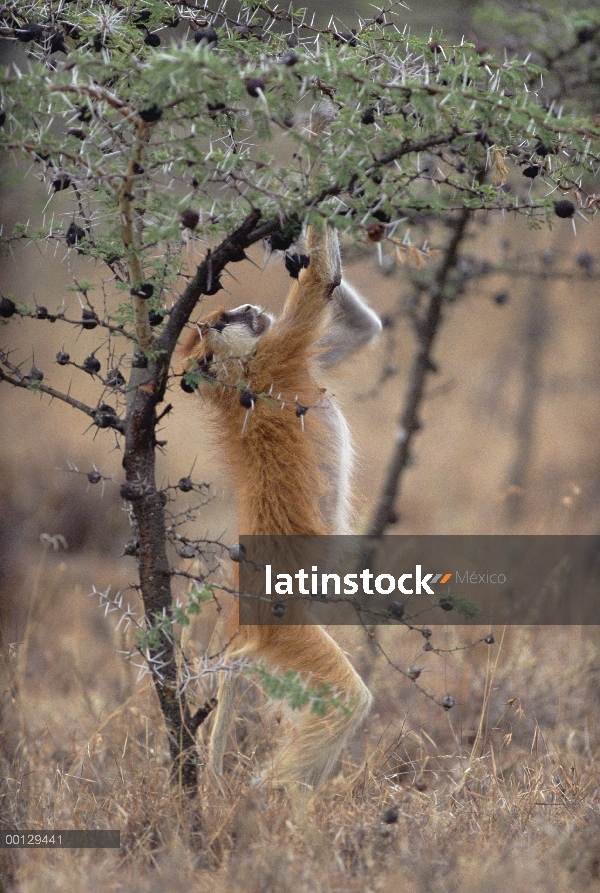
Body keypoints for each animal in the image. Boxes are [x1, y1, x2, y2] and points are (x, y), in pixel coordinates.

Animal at [180, 106, 382, 788]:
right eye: (222, 321)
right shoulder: (281, 354)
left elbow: (357, 324)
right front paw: (320, 126)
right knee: (346, 700)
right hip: (285, 627)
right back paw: (277, 799)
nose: (244, 305)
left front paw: (284, 242)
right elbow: (321, 283)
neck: (239, 379)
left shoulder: (285, 359)